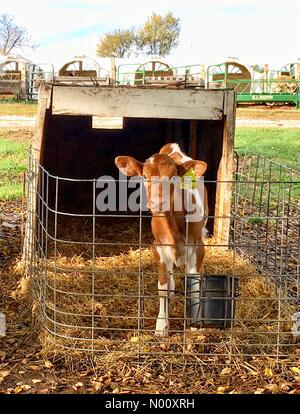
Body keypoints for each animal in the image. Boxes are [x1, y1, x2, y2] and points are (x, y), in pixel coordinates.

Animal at [115, 144, 209, 334]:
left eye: (172, 177)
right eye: (145, 176)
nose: (157, 203)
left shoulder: (198, 247)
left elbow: (194, 287)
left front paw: (195, 323)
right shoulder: (158, 247)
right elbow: (163, 288)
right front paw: (161, 326)